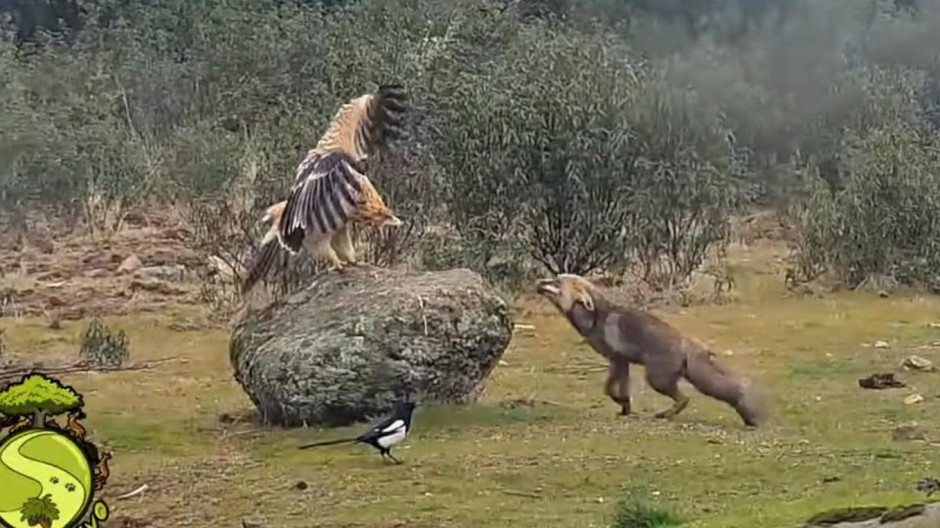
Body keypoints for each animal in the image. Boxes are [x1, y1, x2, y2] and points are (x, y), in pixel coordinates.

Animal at [536, 273, 762, 427]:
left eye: (556, 282)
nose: (538, 282)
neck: (595, 318)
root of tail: (687, 342)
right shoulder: (621, 362)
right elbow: (618, 389)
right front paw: (625, 408)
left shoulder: (617, 360)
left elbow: (609, 389)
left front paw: (623, 403)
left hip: (656, 380)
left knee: (684, 399)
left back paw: (665, 415)